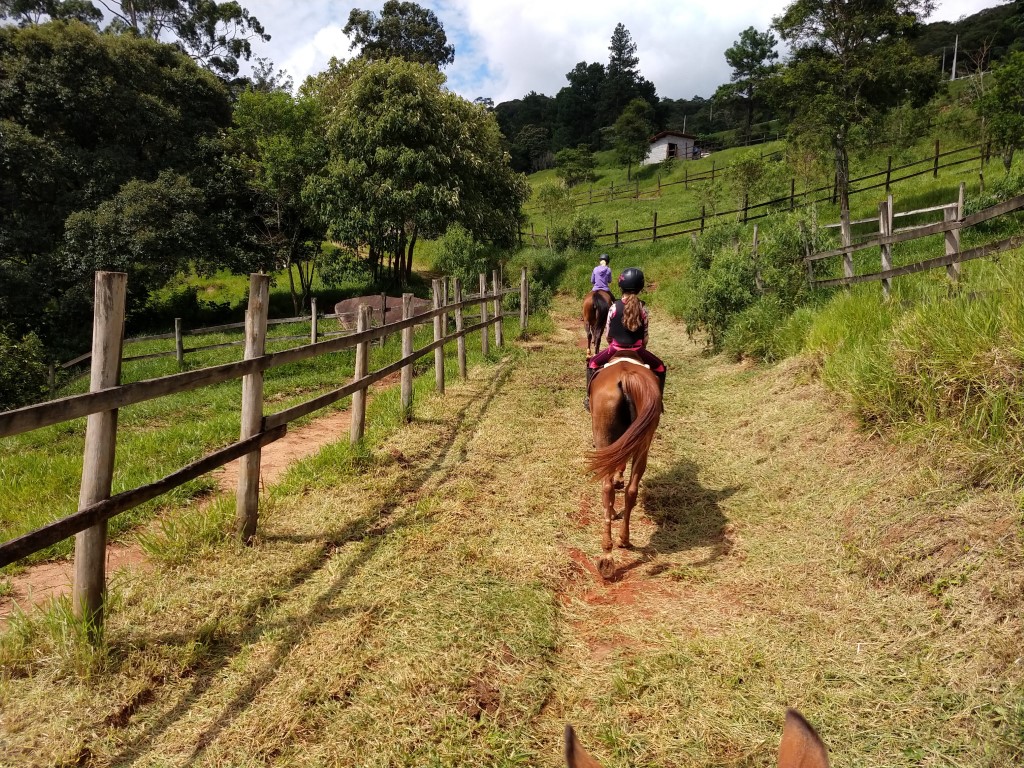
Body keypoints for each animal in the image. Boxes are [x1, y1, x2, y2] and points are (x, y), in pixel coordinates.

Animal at [585, 358, 663, 581]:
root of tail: (626, 377)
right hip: (644, 440)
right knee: (631, 490)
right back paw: (624, 539)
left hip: (604, 436)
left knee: (606, 487)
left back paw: (606, 553)